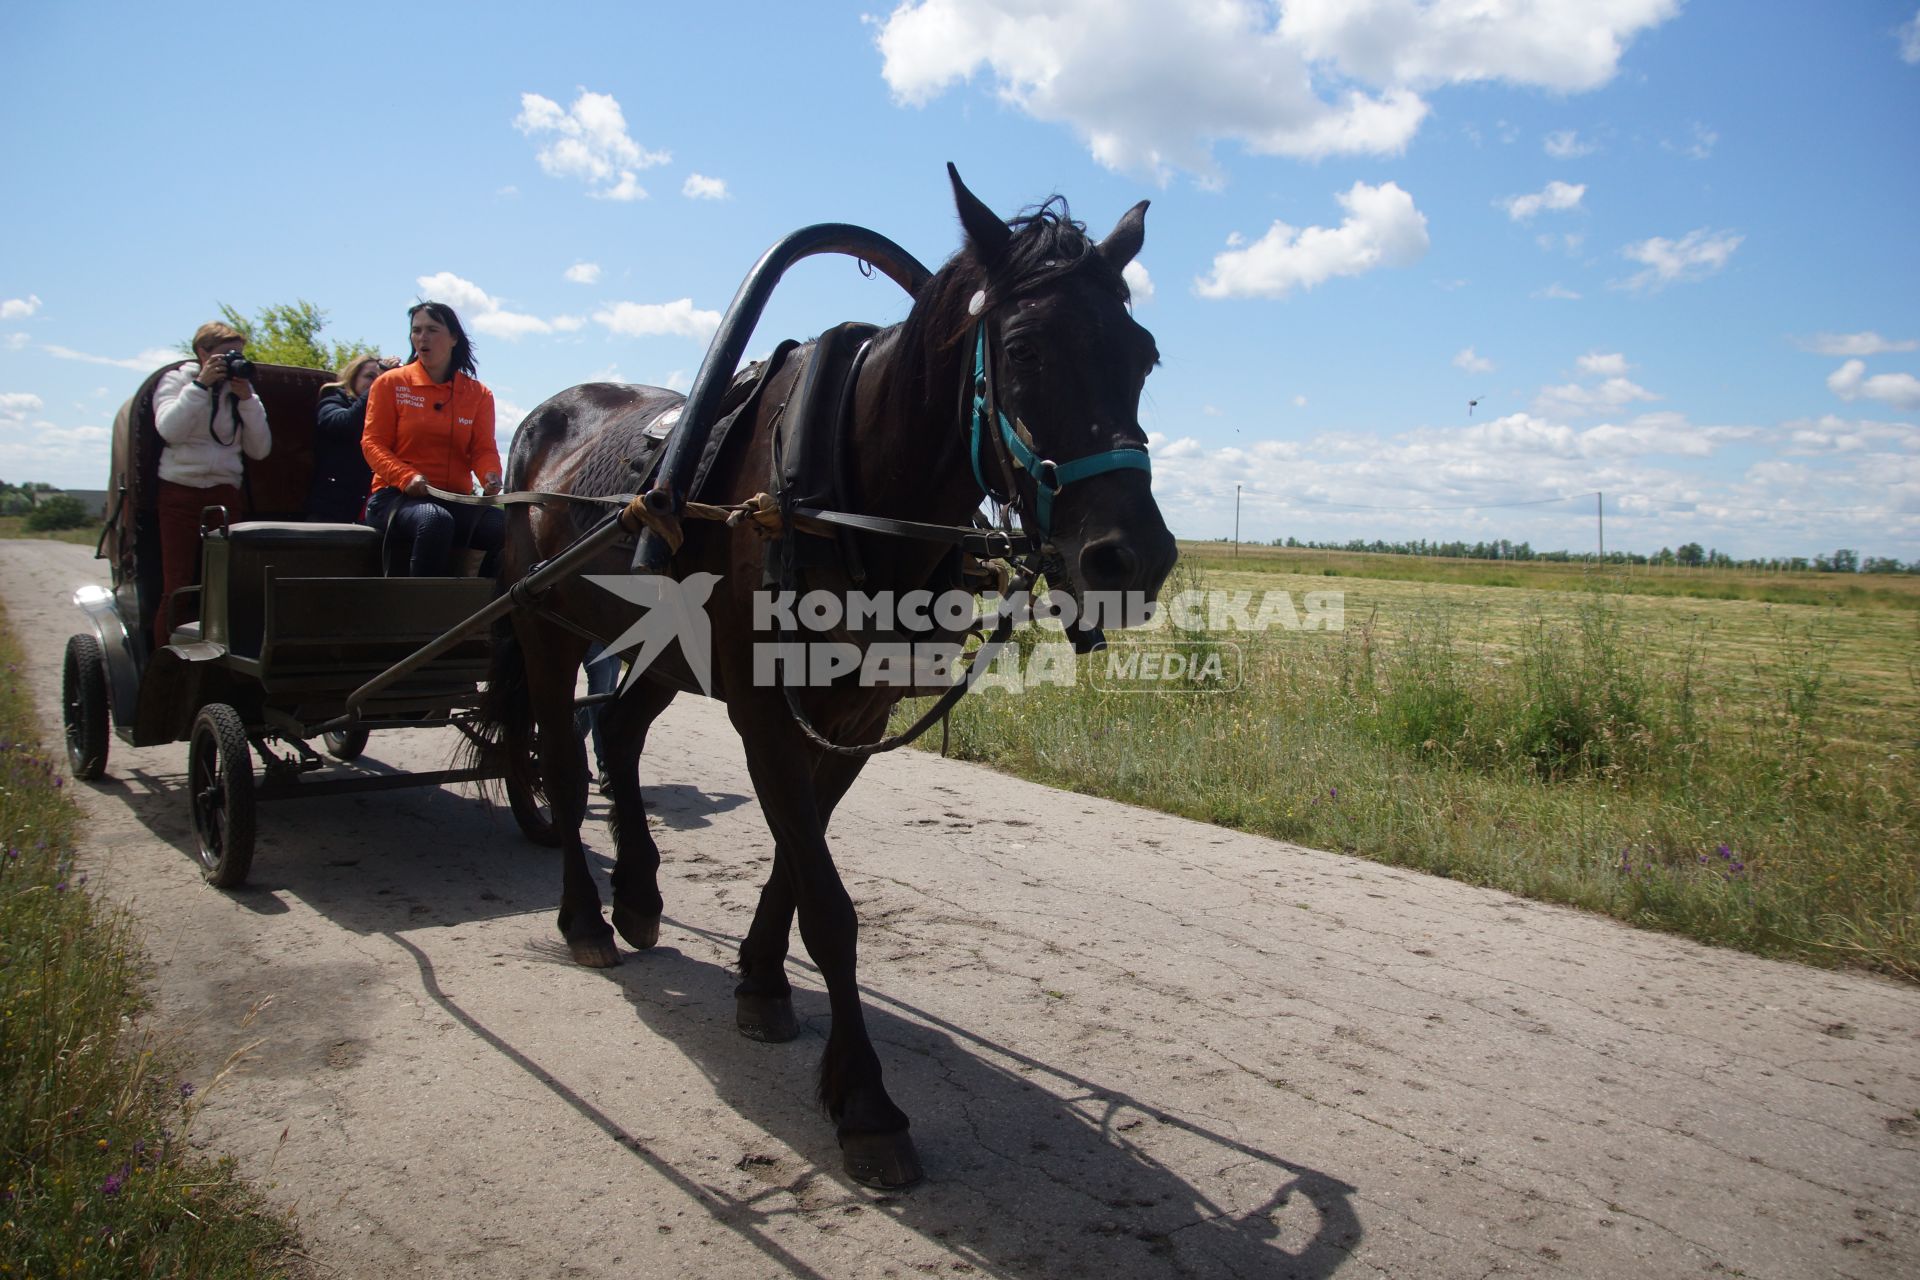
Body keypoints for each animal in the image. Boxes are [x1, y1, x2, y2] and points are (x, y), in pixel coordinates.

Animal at [476, 165, 1167, 1189]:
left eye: (1143, 355)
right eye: (1025, 347)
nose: (1134, 557)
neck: (842, 488)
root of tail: (540, 423)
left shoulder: (855, 716)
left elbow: (797, 871)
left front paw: (763, 986)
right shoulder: (766, 714)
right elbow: (829, 905)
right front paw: (868, 1102)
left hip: (661, 648)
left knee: (624, 736)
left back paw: (637, 891)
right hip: (543, 626)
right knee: (563, 763)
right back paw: (587, 919)